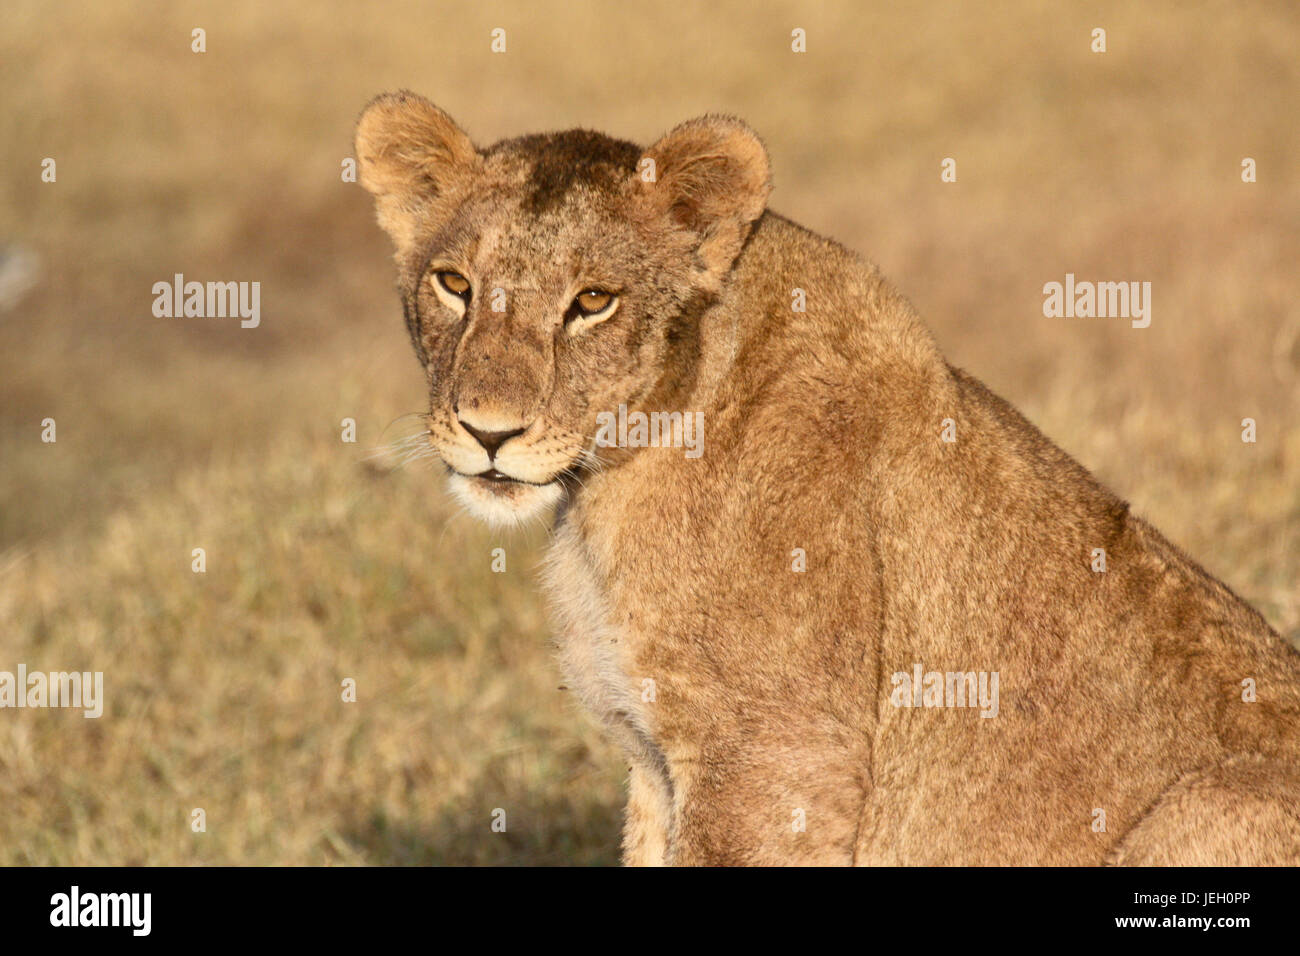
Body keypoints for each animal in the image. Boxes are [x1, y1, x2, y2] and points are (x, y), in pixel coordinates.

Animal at [356, 91, 1300, 868]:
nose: (488, 430)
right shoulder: (657, 763)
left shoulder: (776, 760)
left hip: (1210, 805)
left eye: (593, 301)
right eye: (454, 284)